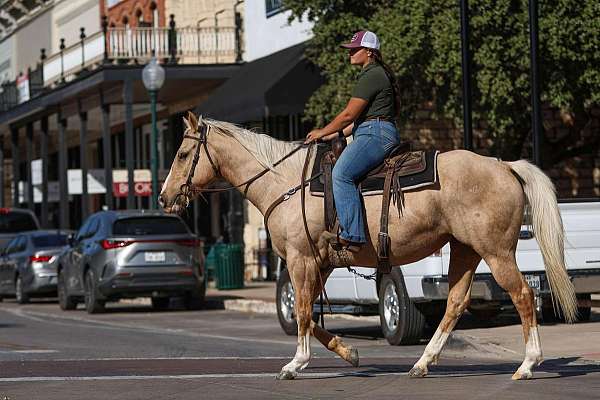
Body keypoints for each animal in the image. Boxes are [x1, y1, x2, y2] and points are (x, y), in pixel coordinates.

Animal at [158, 113, 576, 382]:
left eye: (182, 155)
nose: (164, 197)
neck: (285, 181)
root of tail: (504, 165)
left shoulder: (300, 259)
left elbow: (303, 312)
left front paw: (296, 364)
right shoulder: (320, 261)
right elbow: (311, 316)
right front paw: (350, 352)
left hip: (496, 250)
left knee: (522, 295)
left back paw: (527, 365)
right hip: (465, 249)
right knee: (455, 303)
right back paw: (422, 363)